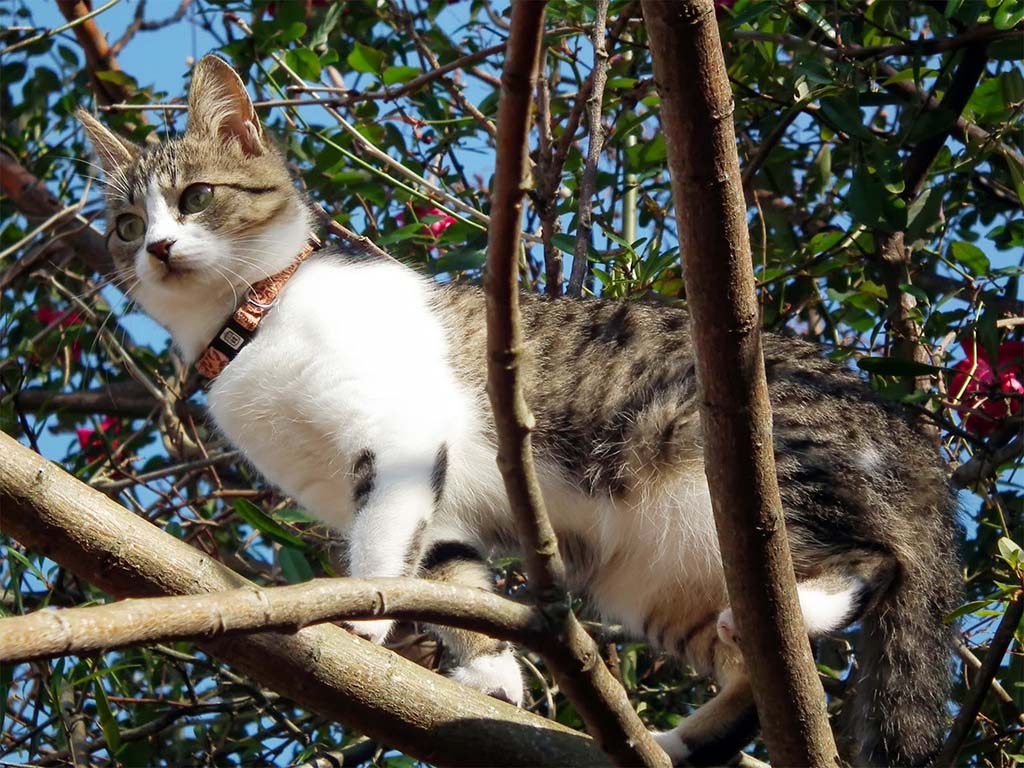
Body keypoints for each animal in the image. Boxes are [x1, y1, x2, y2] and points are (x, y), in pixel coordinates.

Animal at [77, 55, 958, 768]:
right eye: (125, 225)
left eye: (195, 197)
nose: (156, 248)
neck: (256, 317)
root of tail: (918, 449)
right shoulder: (411, 496)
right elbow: (445, 564)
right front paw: (490, 669)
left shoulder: (396, 432)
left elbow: (385, 540)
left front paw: (364, 614)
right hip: (659, 576)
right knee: (745, 679)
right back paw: (681, 740)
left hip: (749, 467)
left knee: (875, 559)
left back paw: (814, 599)